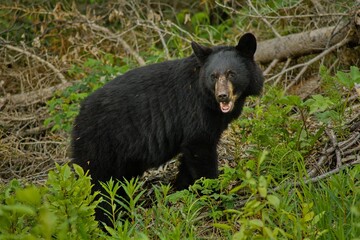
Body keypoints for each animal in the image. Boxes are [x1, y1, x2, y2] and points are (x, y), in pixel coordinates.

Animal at [71, 31, 262, 219]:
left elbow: (188, 160)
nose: (222, 96)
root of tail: (78, 115)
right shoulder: (196, 113)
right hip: (100, 145)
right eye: (213, 76)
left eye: (231, 73)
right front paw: (217, 199)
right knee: (97, 184)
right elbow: (201, 151)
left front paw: (182, 192)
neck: (208, 100)